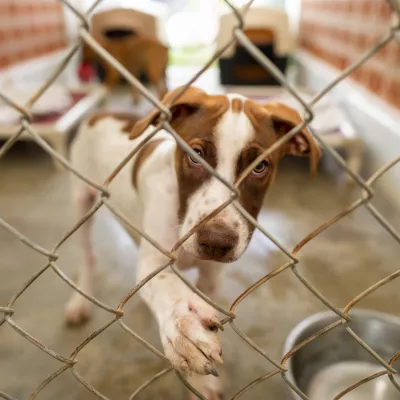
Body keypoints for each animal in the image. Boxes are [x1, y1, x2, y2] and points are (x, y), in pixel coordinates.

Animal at [67, 86, 320, 398]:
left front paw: (202, 385)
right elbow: (165, 286)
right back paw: (80, 301)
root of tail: (101, 113)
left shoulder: (210, 275)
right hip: (82, 200)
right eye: (195, 156)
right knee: (87, 256)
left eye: (260, 167)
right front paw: (183, 324)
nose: (217, 242)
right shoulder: (155, 261)